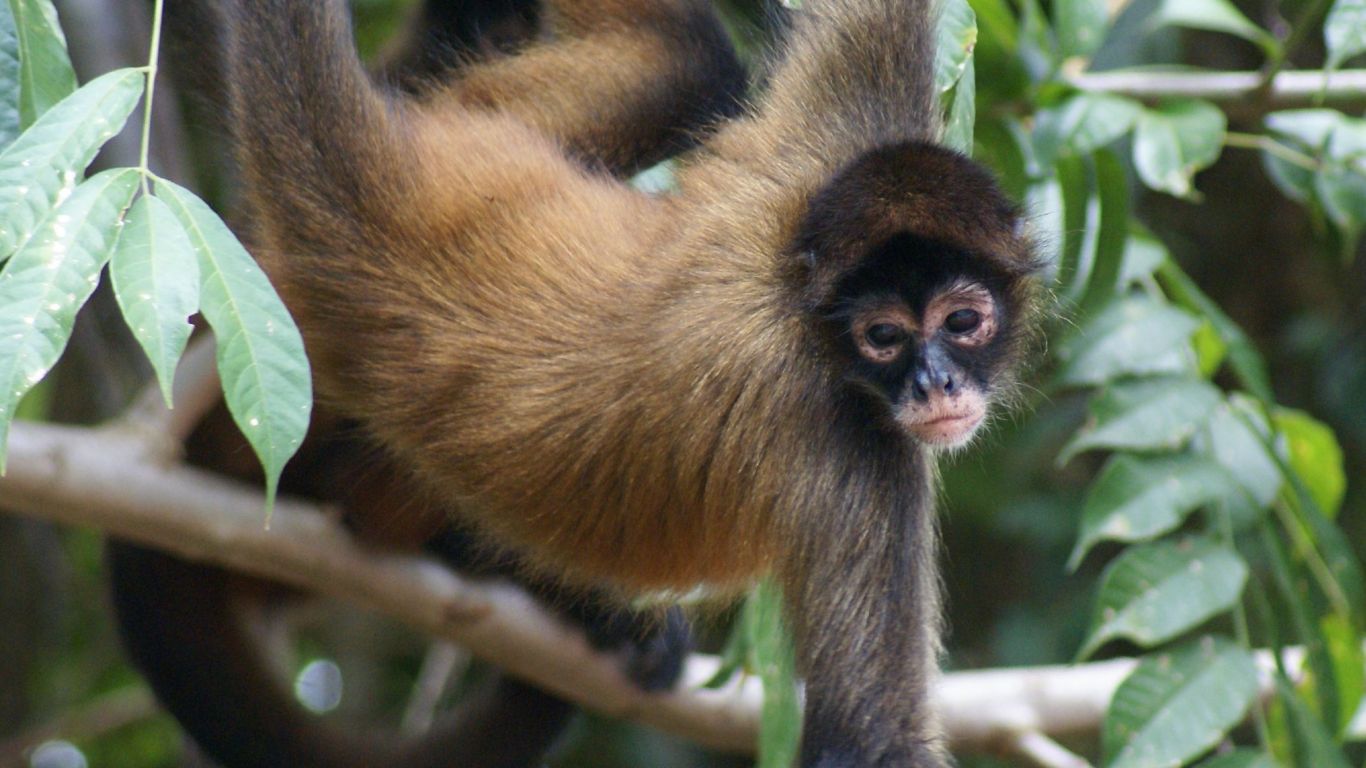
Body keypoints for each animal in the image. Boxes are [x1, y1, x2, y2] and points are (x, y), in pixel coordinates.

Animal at [110, 0, 1041, 764]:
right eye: (884, 338)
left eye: (962, 321)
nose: (935, 384)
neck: (797, 306)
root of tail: (361, 226)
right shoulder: (857, 453)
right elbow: (870, 747)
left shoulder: (827, 148)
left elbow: (858, 19)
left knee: (683, 60)